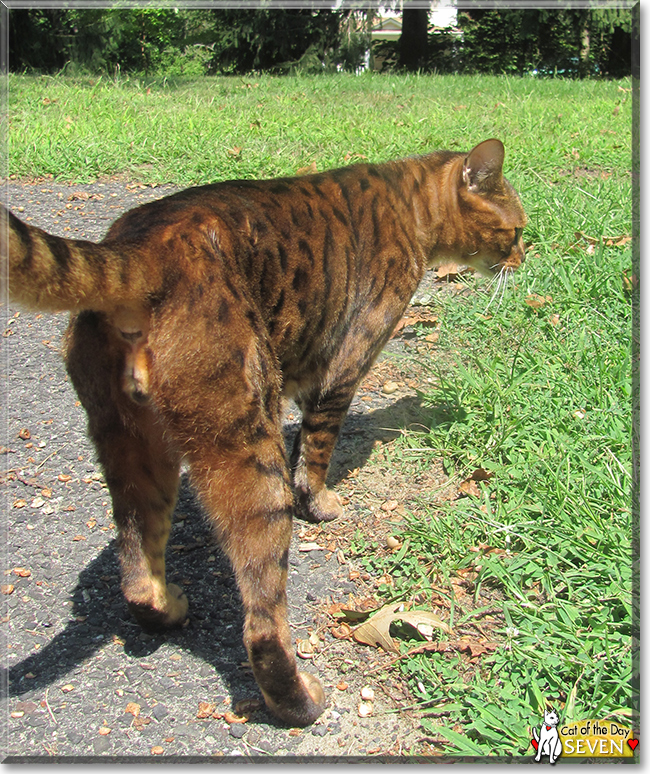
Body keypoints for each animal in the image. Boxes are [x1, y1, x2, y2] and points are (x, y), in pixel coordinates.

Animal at [0, 139, 528, 728]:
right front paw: (321, 504)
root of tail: (138, 247)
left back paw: (167, 607)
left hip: (132, 447)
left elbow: (307, 446)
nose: (524, 259)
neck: (408, 202)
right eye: (515, 231)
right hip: (249, 441)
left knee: (136, 570)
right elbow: (317, 450)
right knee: (261, 622)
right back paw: (299, 702)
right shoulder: (341, 369)